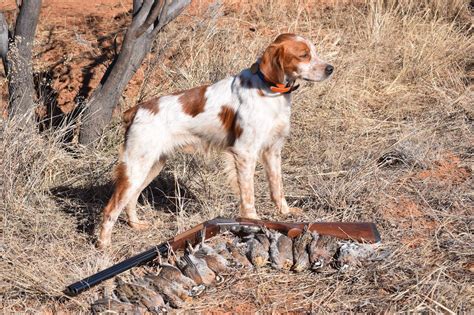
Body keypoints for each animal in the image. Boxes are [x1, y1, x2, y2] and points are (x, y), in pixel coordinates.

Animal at [96, 33, 334, 248]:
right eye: (303, 55)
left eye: (314, 52)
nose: (330, 68)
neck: (269, 90)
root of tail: (136, 110)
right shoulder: (245, 152)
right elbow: (248, 195)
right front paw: (254, 222)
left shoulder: (272, 150)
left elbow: (278, 187)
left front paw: (284, 212)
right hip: (136, 166)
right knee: (111, 208)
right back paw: (104, 245)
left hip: (151, 165)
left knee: (131, 199)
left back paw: (135, 225)